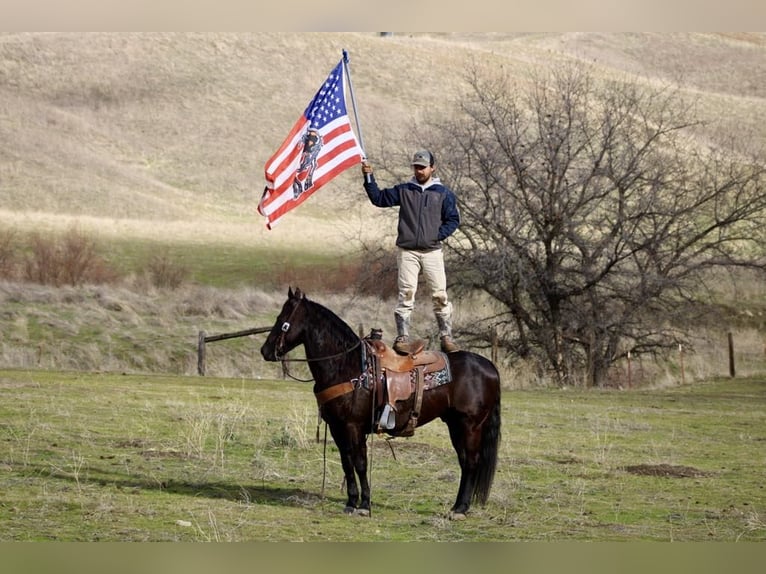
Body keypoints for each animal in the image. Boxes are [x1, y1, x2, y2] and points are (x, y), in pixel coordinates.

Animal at [260, 288, 504, 520]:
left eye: (283, 319)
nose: (265, 351)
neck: (346, 366)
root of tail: (489, 366)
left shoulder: (354, 427)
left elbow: (360, 463)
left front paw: (364, 505)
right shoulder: (338, 429)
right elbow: (346, 463)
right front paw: (351, 503)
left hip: (469, 425)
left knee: (471, 462)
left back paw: (460, 509)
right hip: (455, 425)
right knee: (464, 461)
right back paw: (456, 507)